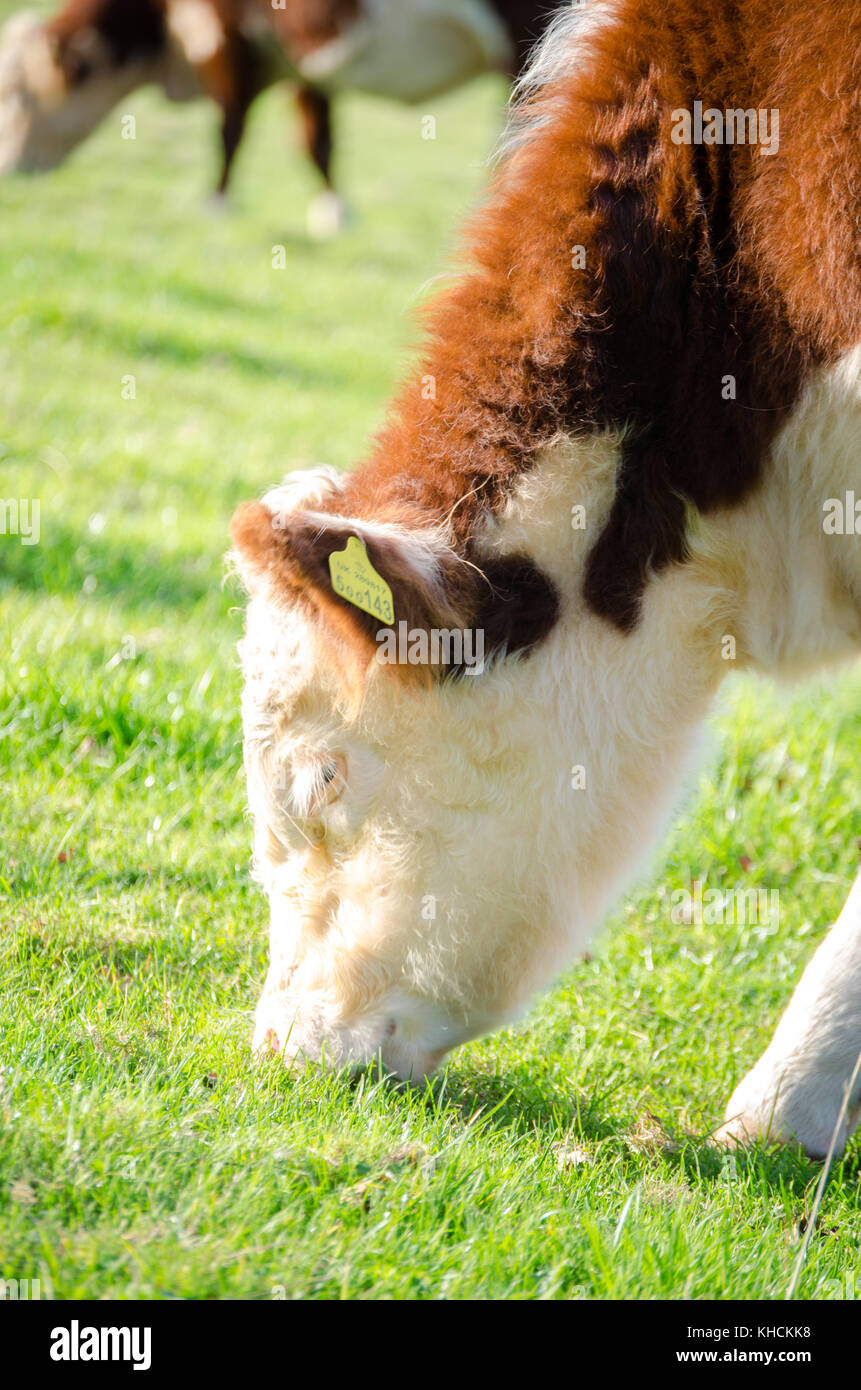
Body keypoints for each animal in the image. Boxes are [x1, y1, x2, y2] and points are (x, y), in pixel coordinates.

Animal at [0, 0, 568, 233]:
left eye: (17, 96)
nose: (9, 169)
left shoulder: (226, 35)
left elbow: (230, 128)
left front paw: (217, 202)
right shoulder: (301, 58)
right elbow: (318, 140)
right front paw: (334, 214)